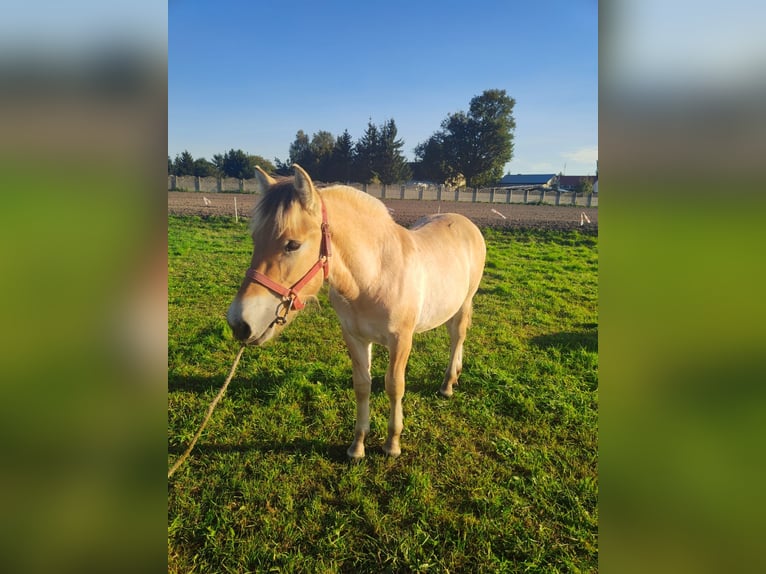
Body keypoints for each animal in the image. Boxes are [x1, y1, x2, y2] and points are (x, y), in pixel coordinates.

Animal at [226, 164, 486, 462]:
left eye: (292, 245)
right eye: (255, 239)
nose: (239, 323)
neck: (375, 275)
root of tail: (465, 222)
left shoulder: (401, 340)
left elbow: (395, 386)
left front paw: (392, 443)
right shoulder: (355, 337)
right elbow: (362, 386)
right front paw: (358, 445)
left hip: (465, 302)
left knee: (457, 337)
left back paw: (448, 383)